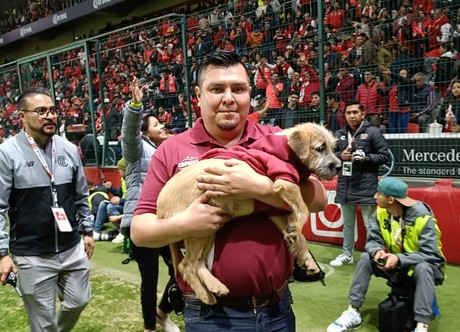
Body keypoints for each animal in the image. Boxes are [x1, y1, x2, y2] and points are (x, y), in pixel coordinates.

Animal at [158, 122, 342, 304]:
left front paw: (305, 255)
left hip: (208, 230)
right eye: (320, 148)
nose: (339, 167)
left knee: (197, 263)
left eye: (332, 147)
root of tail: (160, 211)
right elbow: (303, 208)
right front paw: (296, 227)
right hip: (197, 230)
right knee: (186, 265)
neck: (287, 151)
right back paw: (205, 295)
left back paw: (215, 287)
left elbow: (300, 234)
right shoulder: (285, 181)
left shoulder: (274, 212)